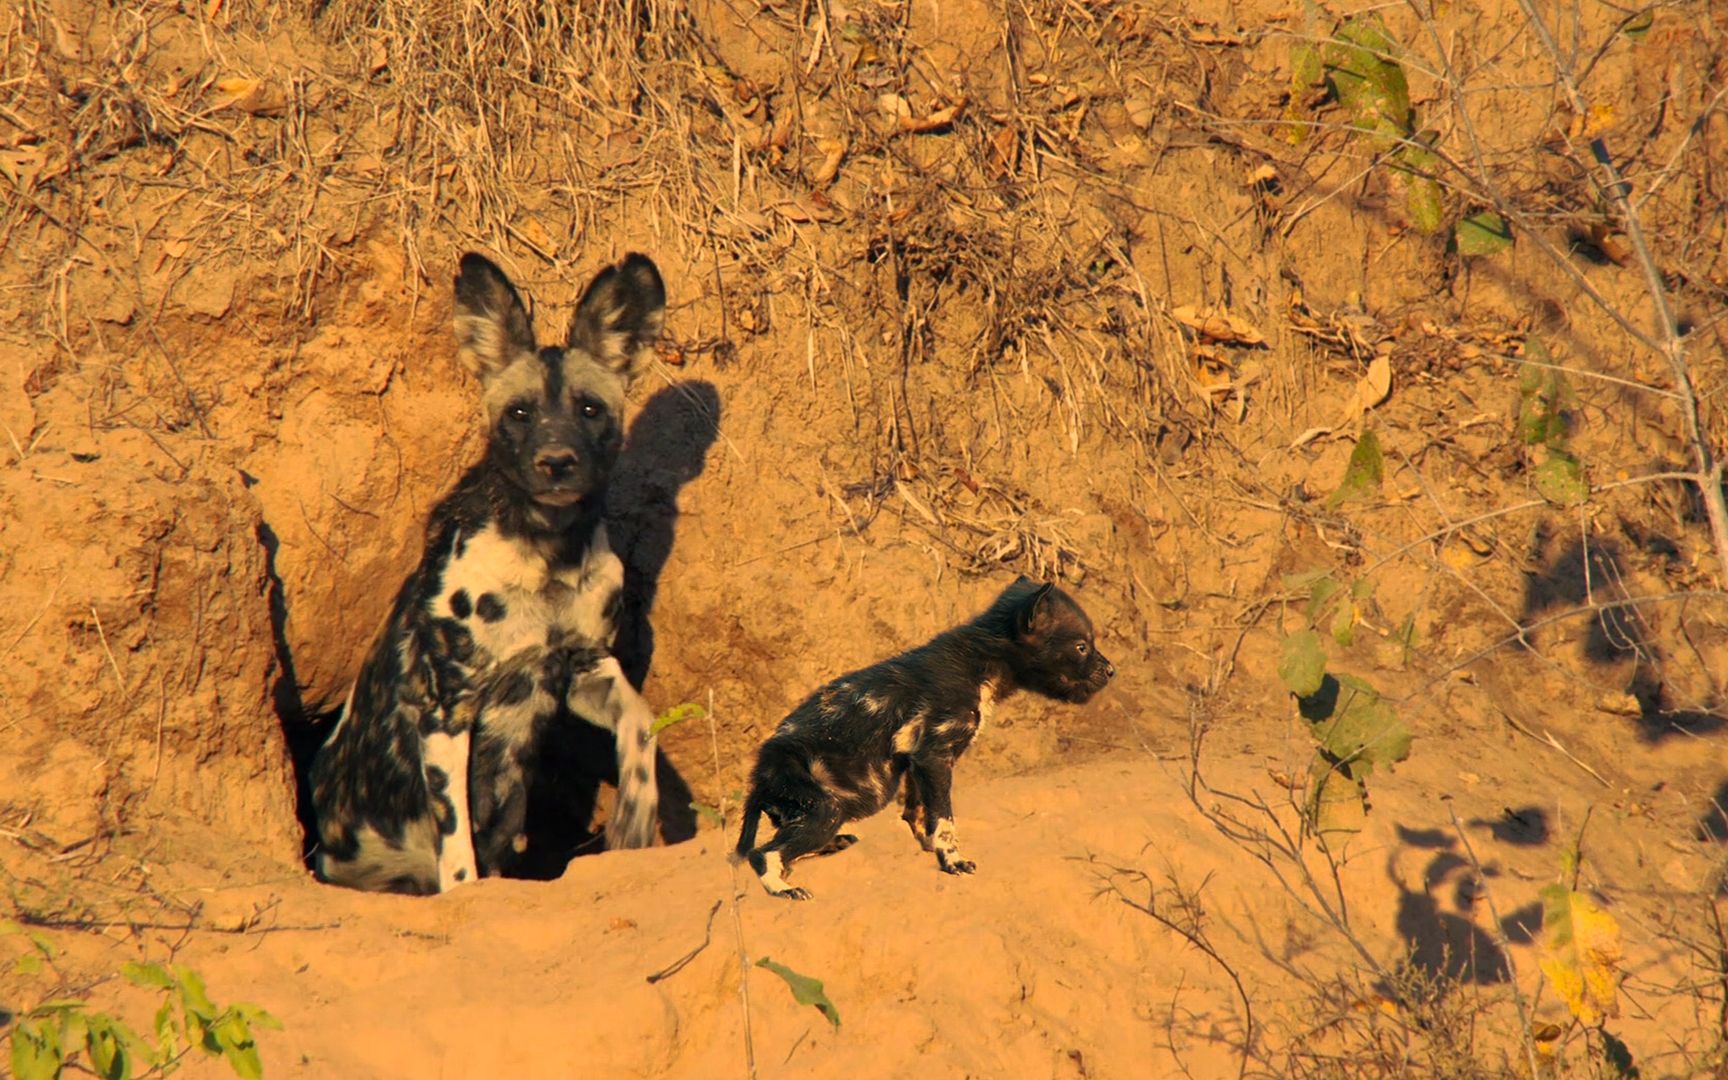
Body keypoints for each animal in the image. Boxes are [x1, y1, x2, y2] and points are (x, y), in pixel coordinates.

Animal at [311, 250, 667, 891]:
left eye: (589, 409)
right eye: (520, 413)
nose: (557, 463)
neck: (549, 552)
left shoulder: (582, 669)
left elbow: (642, 721)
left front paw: (635, 818)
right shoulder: (445, 713)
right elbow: (460, 858)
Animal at [732, 577, 1112, 898]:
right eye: (1081, 646)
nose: (1111, 670)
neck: (982, 663)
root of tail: (759, 778)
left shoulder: (917, 762)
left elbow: (919, 814)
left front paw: (931, 848)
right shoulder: (934, 756)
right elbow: (944, 820)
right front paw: (953, 861)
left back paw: (833, 845)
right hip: (828, 807)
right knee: (763, 853)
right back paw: (784, 888)